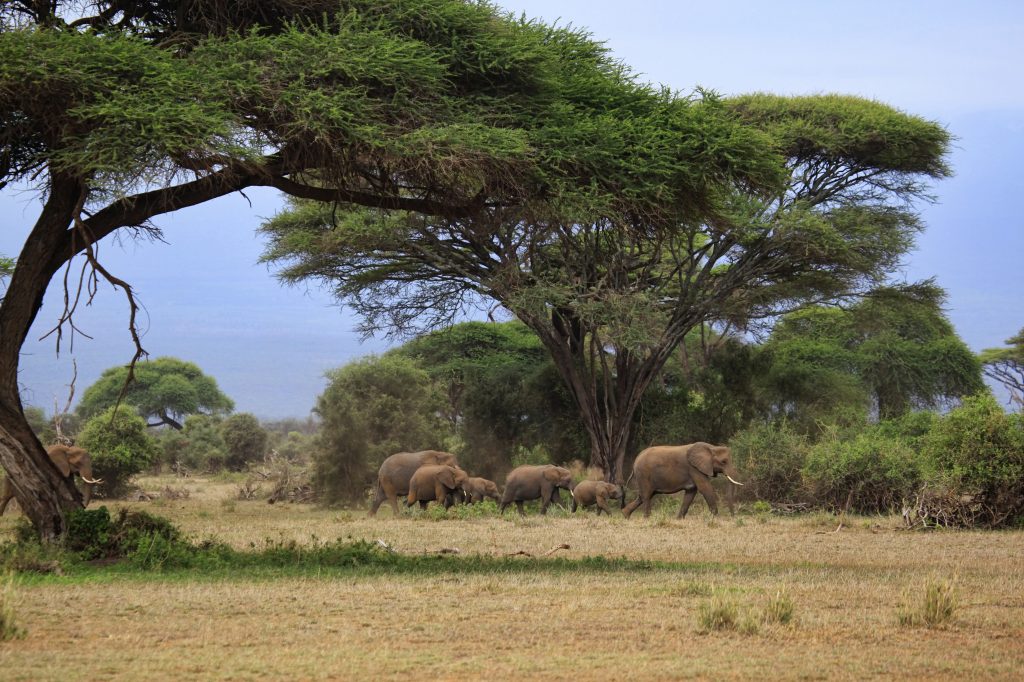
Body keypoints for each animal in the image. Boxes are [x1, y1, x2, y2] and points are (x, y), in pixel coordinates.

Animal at [614, 440, 745, 516]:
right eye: (724, 462)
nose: (733, 515)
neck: (712, 447)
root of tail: (636, 458)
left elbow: (691, 493)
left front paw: (679, 519)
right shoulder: (694, 468)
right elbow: (705, 488)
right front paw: (715, 518)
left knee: (643, 496)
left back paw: (625, 514)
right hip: (644, 474)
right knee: (646, 496)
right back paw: (647, 518)